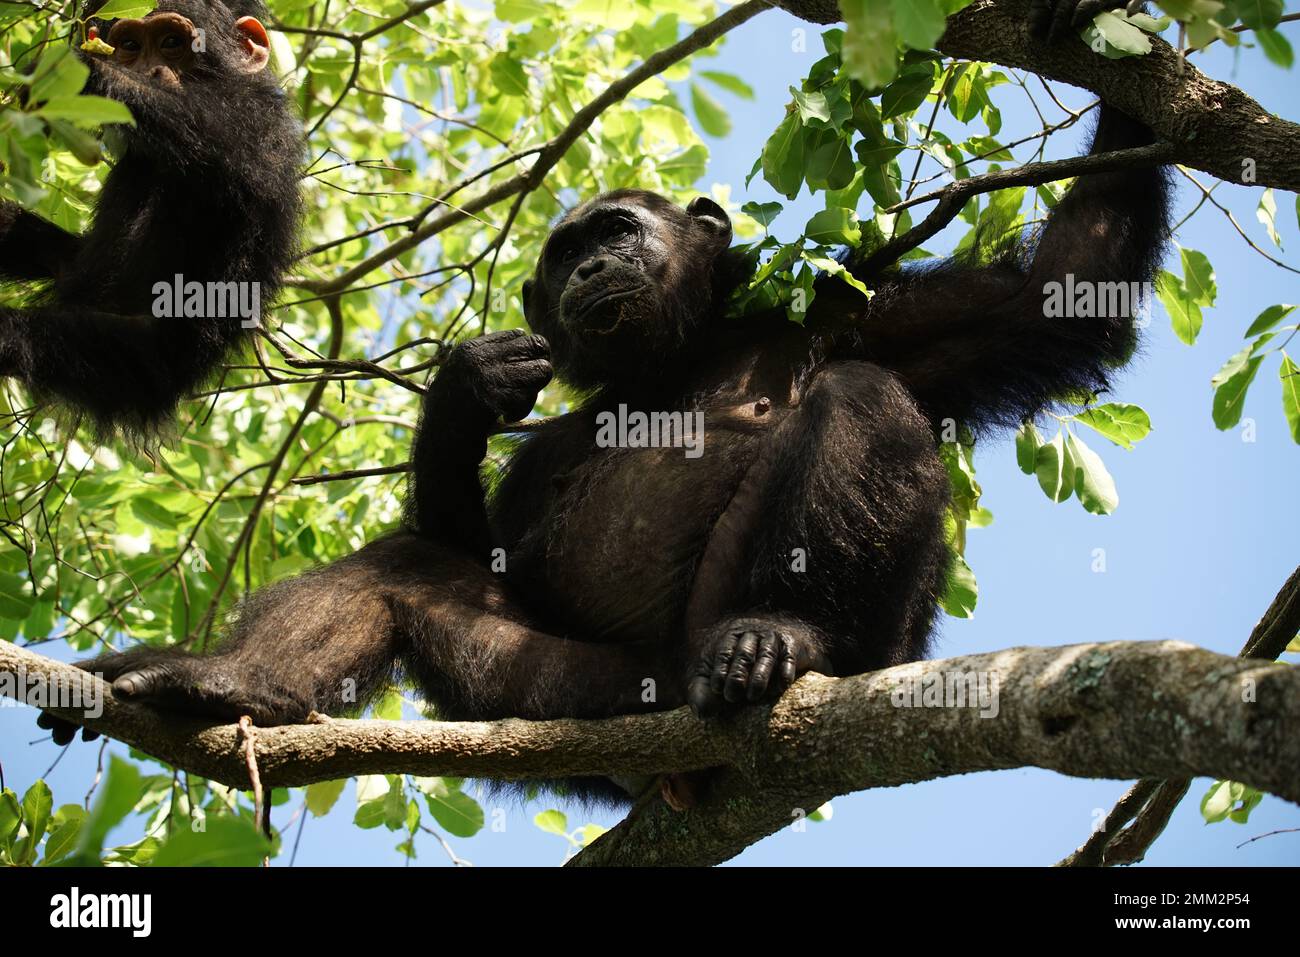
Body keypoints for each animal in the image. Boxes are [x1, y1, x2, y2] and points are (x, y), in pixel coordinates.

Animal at [0, 0, 297, 439]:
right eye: (129, 46)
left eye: (172, 42)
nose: (150, 72)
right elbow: (70, 256)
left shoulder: (255, 121)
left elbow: (209, 132)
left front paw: (71, 72)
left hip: (126, 363)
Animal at [40, 5, 1175, 800]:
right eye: (564, 255)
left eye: (617, 229)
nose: (589, 270)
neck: (675, 359)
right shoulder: (547, 455)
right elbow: (482, 544)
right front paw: (463, 392)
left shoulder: (870, 309)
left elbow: (1058, 296)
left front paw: (1118, 43)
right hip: (579, 707)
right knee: (408, 570)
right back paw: (230, 685)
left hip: (833, 659)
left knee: (861, 401)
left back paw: (781, 641)